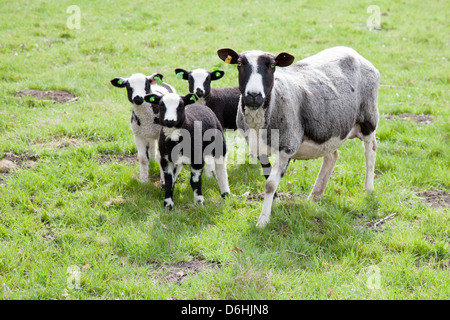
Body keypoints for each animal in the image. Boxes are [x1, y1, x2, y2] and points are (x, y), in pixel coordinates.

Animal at [218, 47, 380, 228]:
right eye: (239, 63)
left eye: (272, 65)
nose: (254, 95)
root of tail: (352, 52)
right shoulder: (258, 148)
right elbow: (268, 178)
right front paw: (274, 205)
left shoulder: (287, 147)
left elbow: (270, 184)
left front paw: (263, 220)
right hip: (329, 128)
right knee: (332, 156)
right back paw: (315, 196)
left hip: (369, 117)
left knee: (371, 150)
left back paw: (368, 189)